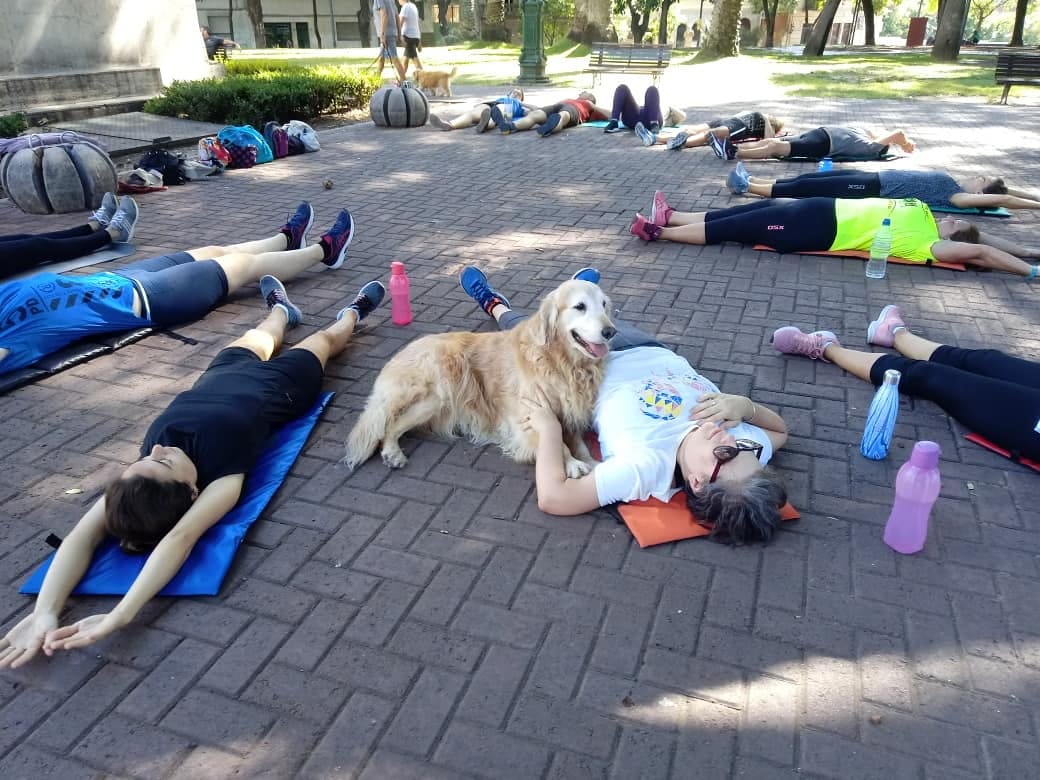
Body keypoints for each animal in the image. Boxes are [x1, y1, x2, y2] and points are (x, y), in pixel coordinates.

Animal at [344, 280, 615, 477]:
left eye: (604, 305)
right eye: (580, 306)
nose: (611, 331)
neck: (562, 363)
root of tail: (399, 354)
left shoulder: (569, 415)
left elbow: (578, 442)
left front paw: (592, 461)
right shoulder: (526, 419)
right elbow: (557, 442)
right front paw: (571, 463)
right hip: (436, 392)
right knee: (388, 425)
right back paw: (392, 452)